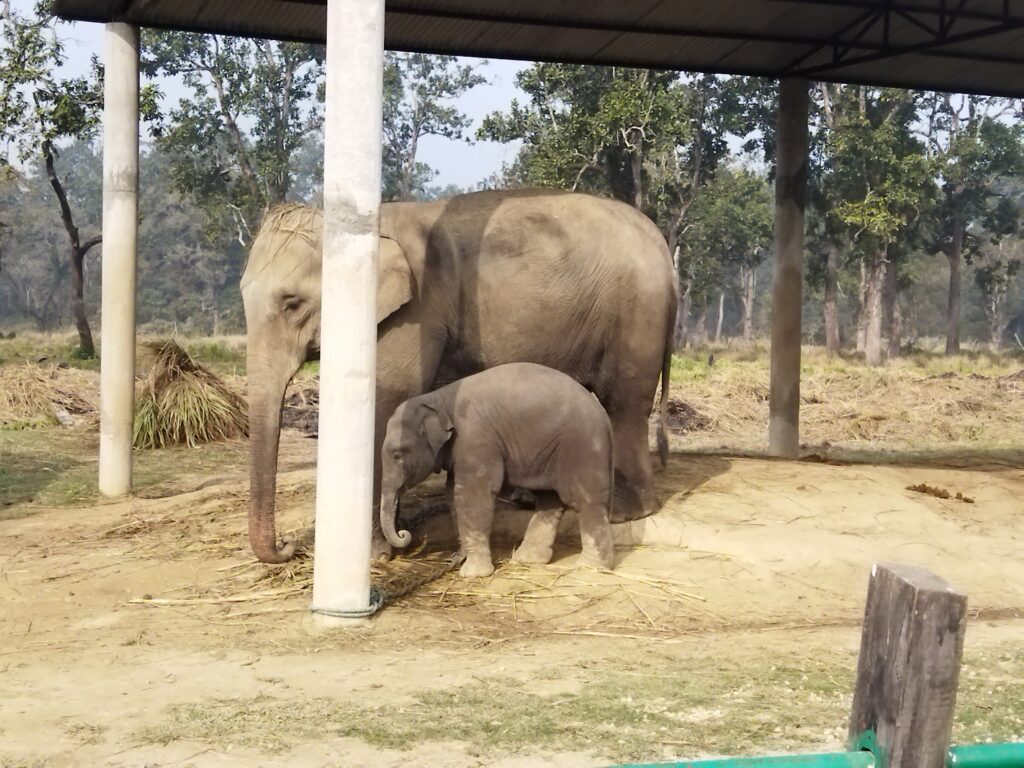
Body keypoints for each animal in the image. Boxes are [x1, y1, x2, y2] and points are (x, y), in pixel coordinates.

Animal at [378, 362, 610, 577]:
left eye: (397, 455)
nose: (403, 533)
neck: (437, 399)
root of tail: (602, 412)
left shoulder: (476, 439)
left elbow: (474, 494)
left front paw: (472, 573)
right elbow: (453, 493)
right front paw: (461, 558)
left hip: (583, 446)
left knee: (583, 500)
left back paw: (589, 567)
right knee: (549, 499)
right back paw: (527, 559)